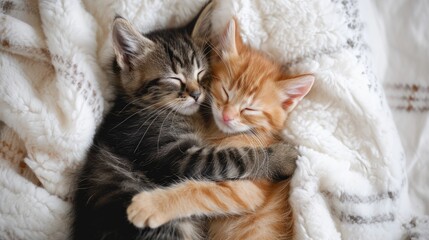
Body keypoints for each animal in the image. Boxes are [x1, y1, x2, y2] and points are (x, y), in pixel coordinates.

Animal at [69, 1, 310, 240]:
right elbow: (233, 159)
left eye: (201, 73)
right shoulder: (170, 154)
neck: (140, 106)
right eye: (175, 79)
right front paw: (282, 157)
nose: (196, 94)